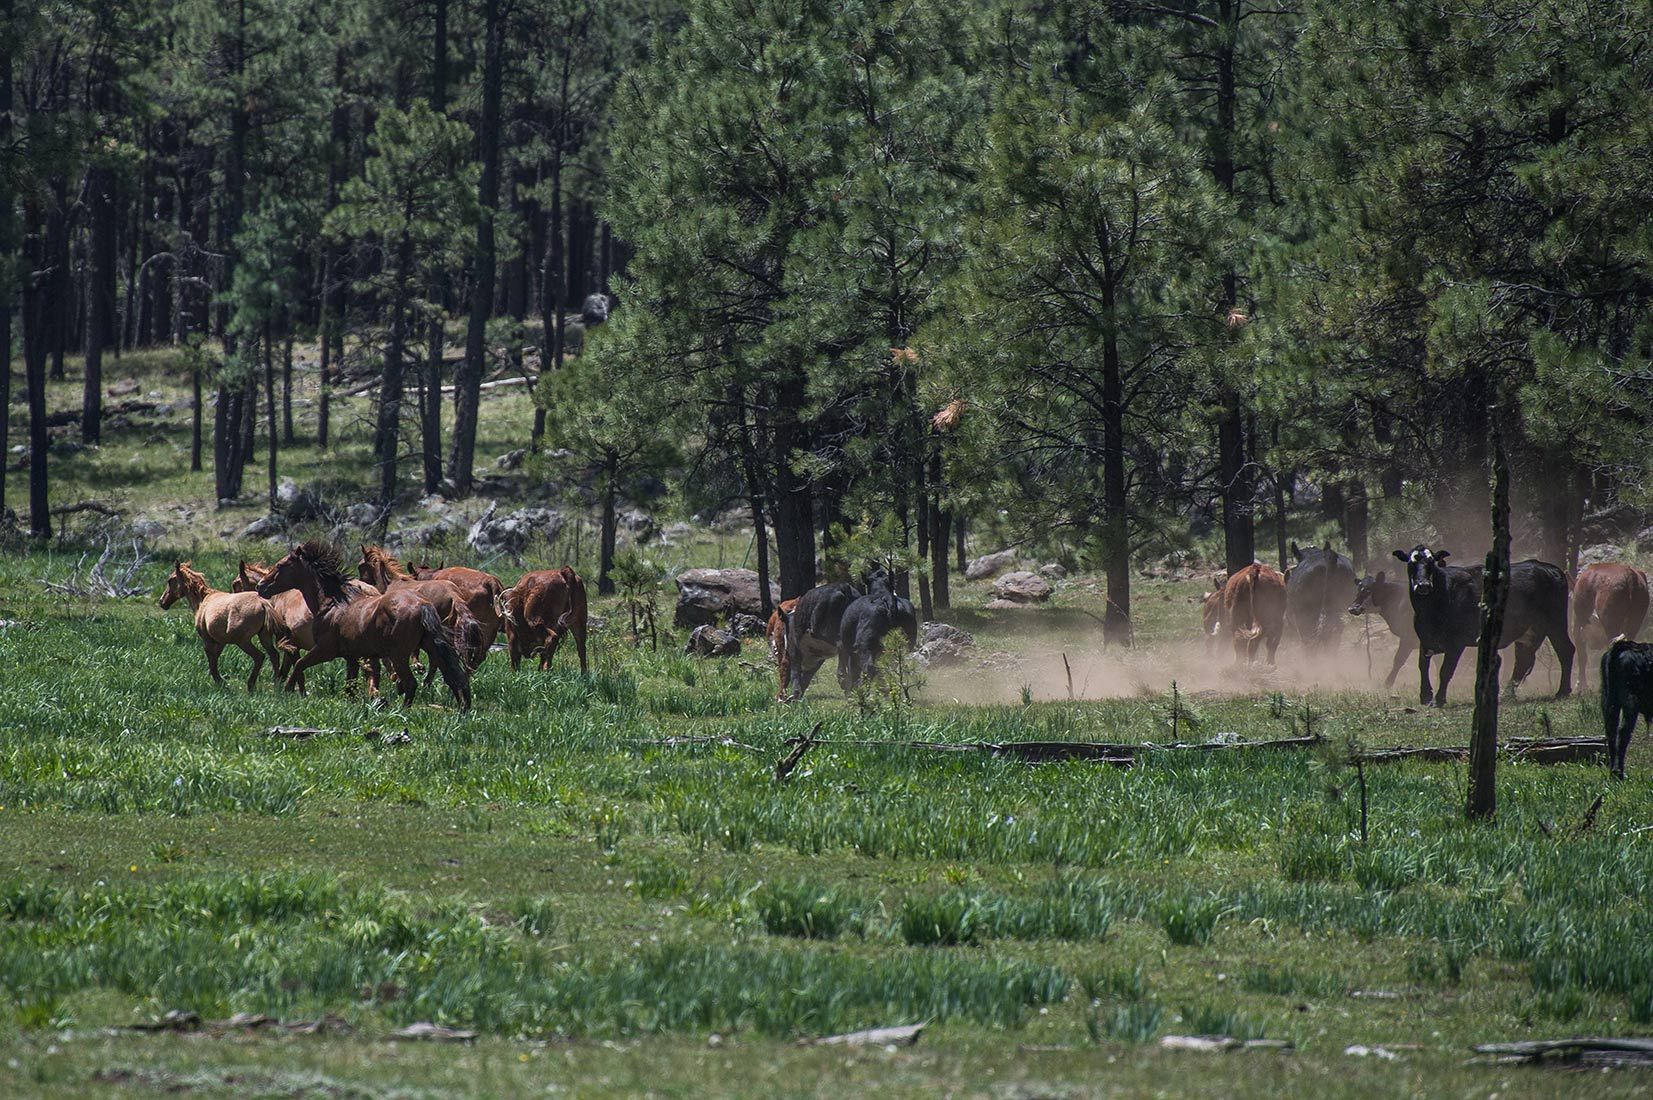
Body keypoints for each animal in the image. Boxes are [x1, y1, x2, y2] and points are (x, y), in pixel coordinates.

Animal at [160, 562, 281, 691]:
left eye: (170, 580)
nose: (162, 602)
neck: (202, 600)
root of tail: (263, 603)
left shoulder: (207, 639)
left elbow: (211, 658)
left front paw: (219, 681)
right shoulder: (220, 641)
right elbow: (215, 658)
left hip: (242, 641)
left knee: (259, 656)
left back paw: (251, 685)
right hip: (264, 637)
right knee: (274, 655)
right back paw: (275, 685)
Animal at [258, 541, 472, 710]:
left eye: (281, 565)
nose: (261, 586)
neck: (331, 603)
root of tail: (422, 605)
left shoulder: (324, 651)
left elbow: (300, 664)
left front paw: (287, 692)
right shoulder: (351, 657)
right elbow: (349, 686)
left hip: (399, 655)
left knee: (411, 683)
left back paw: (401, 711)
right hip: (432, 647)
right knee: (453, 677)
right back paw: (462, 708)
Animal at [1391, 545, 1574, 707]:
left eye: (1431, 562)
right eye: (1411, 563)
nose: (1423, 585)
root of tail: (1549, 568)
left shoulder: (1456, 644)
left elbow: (1445, 671)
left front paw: (1439, 699)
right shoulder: (1425, 640)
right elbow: (1423, 666)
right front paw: (1425, 696)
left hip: (1556, 623)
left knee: (1565, 651)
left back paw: (1562, 692)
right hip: (1529, 633)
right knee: (1523, 660)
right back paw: (1507, 695)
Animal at [1601, 638, 1653, 778]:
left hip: (1609, 701)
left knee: (1611, 730)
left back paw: (1613, 772)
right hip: (1630, 702)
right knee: (1623, 731)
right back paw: (1619, 773)